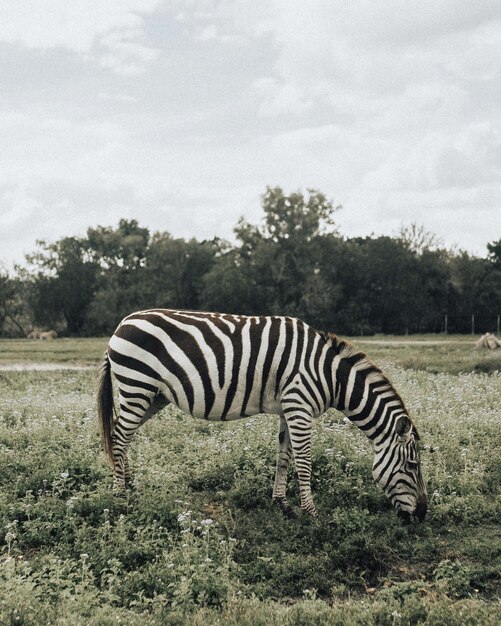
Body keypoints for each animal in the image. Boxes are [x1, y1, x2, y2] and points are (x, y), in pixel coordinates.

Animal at [96, 306, 426, 516]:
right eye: (412, 466)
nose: (423, 514)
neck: (331, 375)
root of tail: (121, 325)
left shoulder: (288, 409)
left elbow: (284, 457)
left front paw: (281, 503)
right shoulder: (299, 405)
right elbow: (304, 462)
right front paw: (311, 512)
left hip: (153, 394)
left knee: (122, 432)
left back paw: (129, 482)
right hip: (138, 384)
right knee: (119, 435)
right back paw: (119, 494)